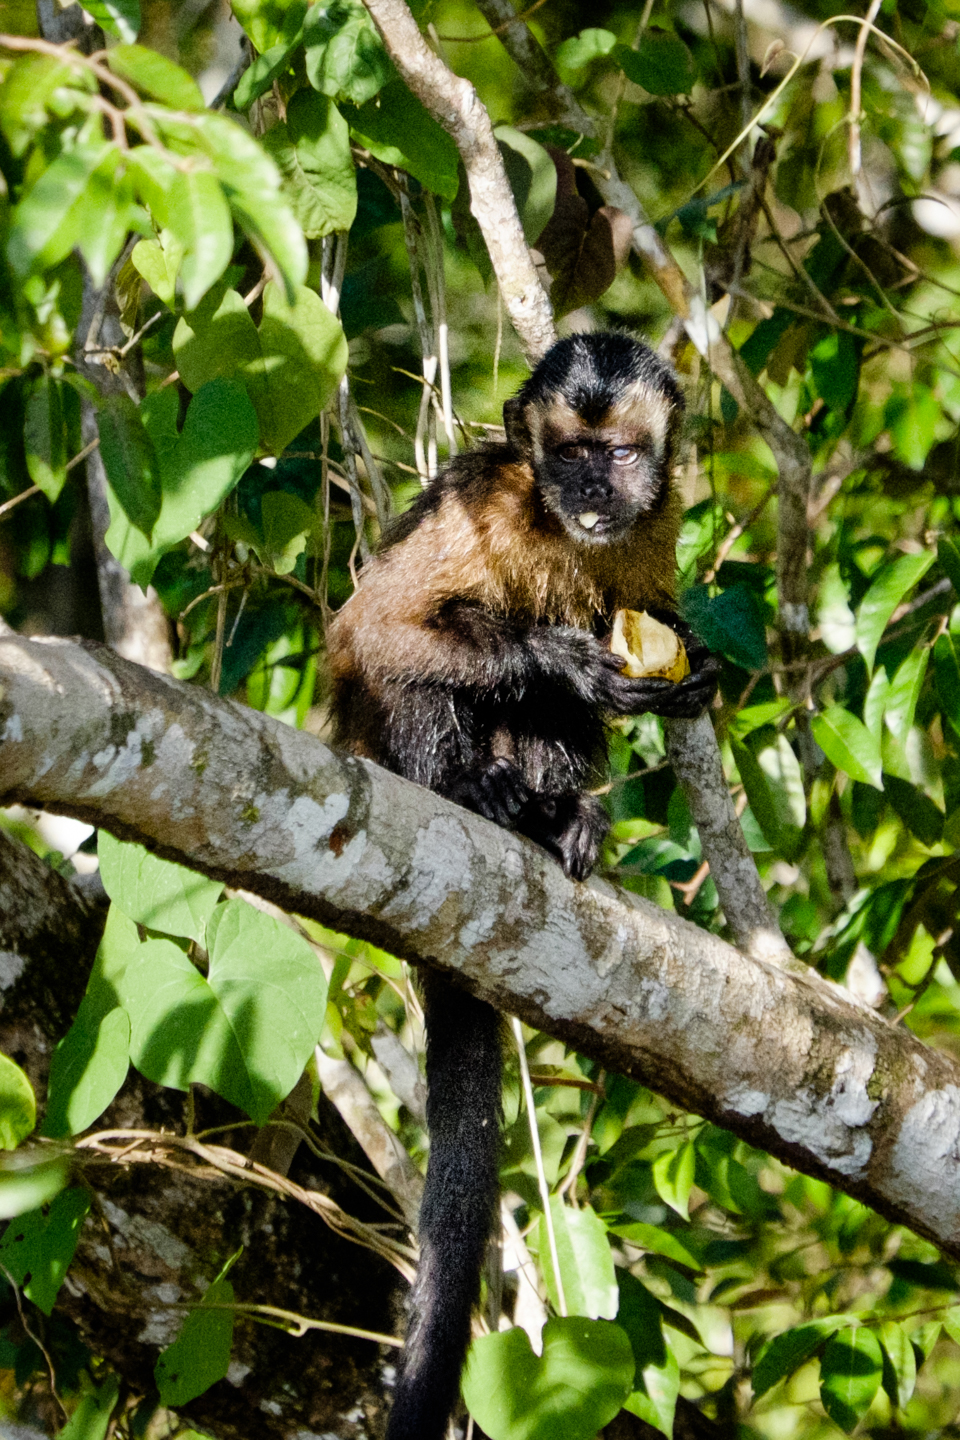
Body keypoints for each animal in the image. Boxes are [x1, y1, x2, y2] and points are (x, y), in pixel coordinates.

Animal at [326, 329, 716, 1440]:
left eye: (620, 454)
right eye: (570, 457)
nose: (589, 492)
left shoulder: (660, 517)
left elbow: (654, 616)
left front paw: (693, 666)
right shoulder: (483, 502)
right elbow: (377, 630)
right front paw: (570, 662)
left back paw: (553, 813)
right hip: (388, 751)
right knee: (420, 664)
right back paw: (481, 793)